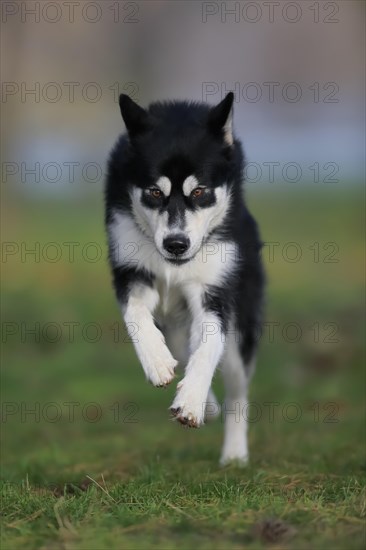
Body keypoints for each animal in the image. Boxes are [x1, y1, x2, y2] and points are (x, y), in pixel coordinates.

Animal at [104, 94, 264, 466]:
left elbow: (209, 346)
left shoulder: (214, 293)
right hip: (174, 316)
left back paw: (234, 453)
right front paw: (158, 363)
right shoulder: (132, 273)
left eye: (201, 191)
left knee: (237, 391)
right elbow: (136, 315)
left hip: (241, 331)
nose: (176, 244)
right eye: (154, 192)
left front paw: (191, 401)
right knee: (180, 342)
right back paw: (207, 402)